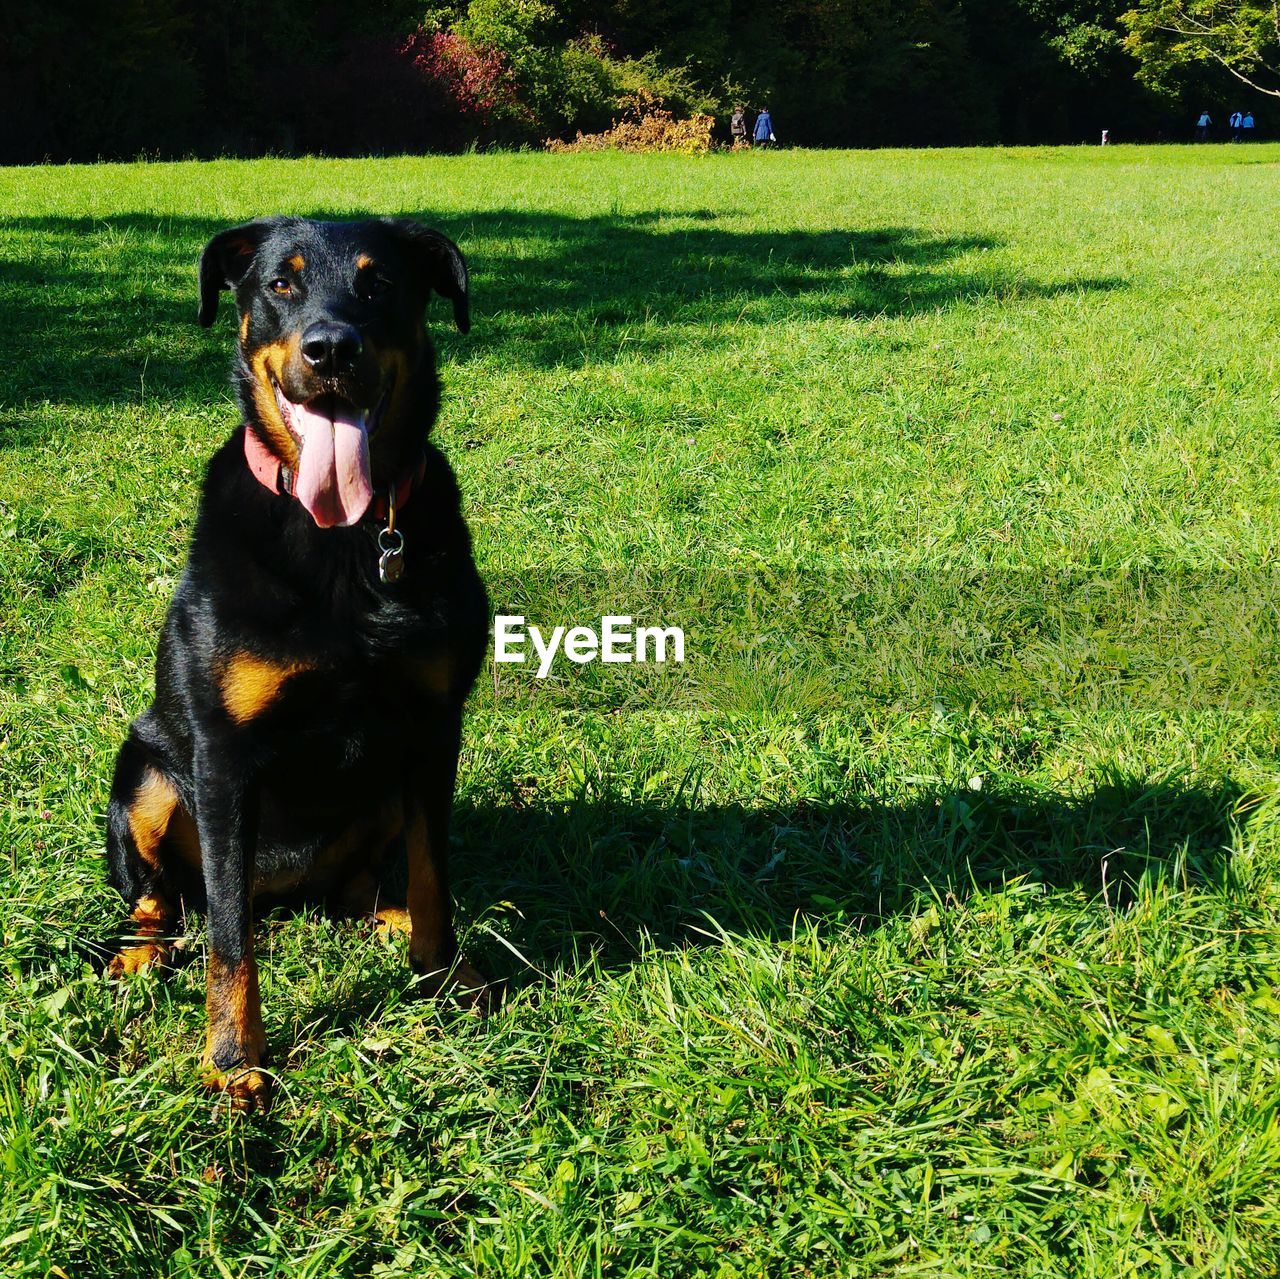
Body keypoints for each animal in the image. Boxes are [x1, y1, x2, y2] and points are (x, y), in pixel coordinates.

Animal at [106, 220, 488, 1111]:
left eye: (380, 283)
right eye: (281, 283)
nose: (331, 348)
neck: (345, 539)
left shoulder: (432, 729)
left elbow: (434, 871)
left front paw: (440, 972)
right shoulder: (223, 758)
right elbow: (228, 936)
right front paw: (233, 1057)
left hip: (380, 789)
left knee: (355, 884)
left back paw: (386, 917)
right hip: (144, 775)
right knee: (163, 895)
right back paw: (141, 949)